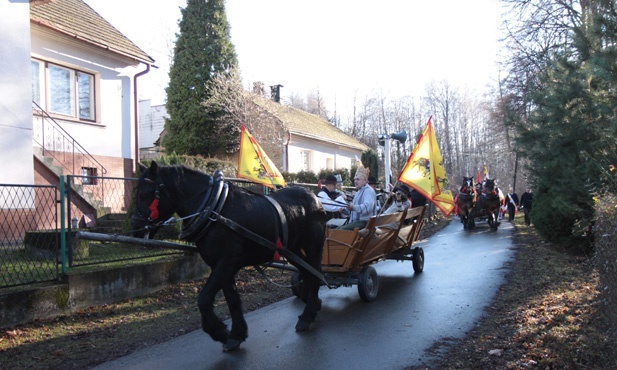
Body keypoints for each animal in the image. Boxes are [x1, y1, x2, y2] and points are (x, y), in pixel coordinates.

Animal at [132, 162, 328, 350]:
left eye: (145, 194)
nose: (137, 230)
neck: (214, 210)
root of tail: (314, 198)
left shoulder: (227, 263)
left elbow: (204, 298)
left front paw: (218, 331)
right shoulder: (219, 265)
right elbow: (232, 299)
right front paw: (236, 335)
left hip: (313, 247)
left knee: (315, 275)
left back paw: (307, 315)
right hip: (293, 251)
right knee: (308, 273)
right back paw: (312, 304)